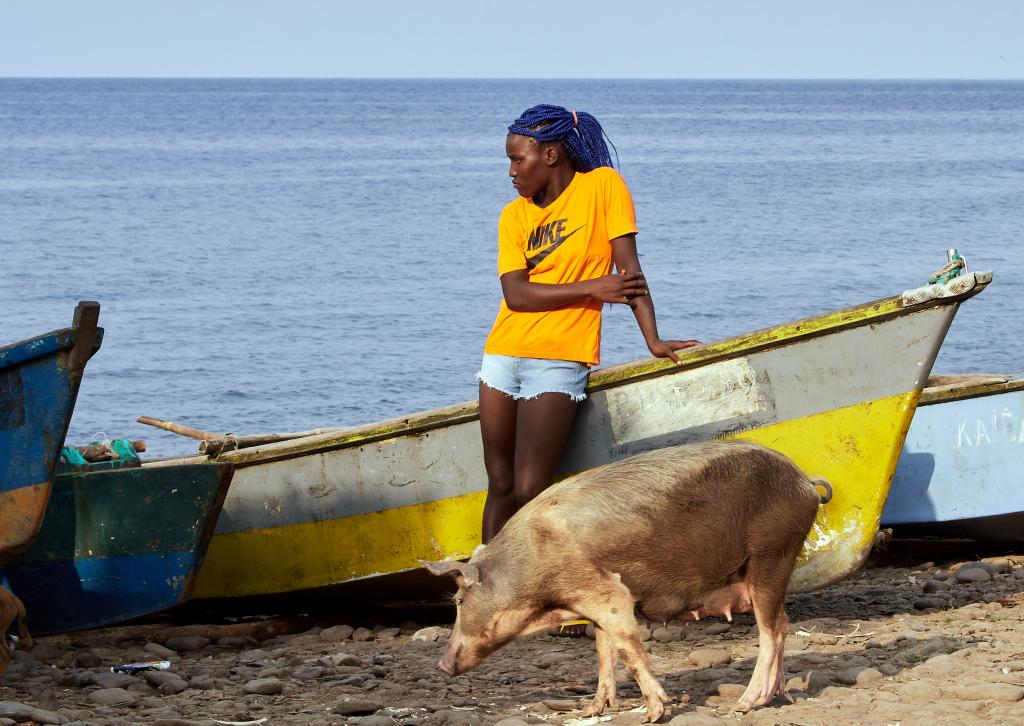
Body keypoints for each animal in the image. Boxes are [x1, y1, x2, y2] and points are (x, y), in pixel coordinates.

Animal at [423, 436, 831, 720]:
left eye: (459, 601)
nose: (441, 665)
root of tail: (804, 482)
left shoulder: (609, 594)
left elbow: (629, 650)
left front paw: (655, 713)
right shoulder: (592, 606)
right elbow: (604, 653)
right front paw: (592, 710)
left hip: (771, 554)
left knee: (773, 631)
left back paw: (744, 705)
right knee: (784, 623)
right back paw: (776, 697)